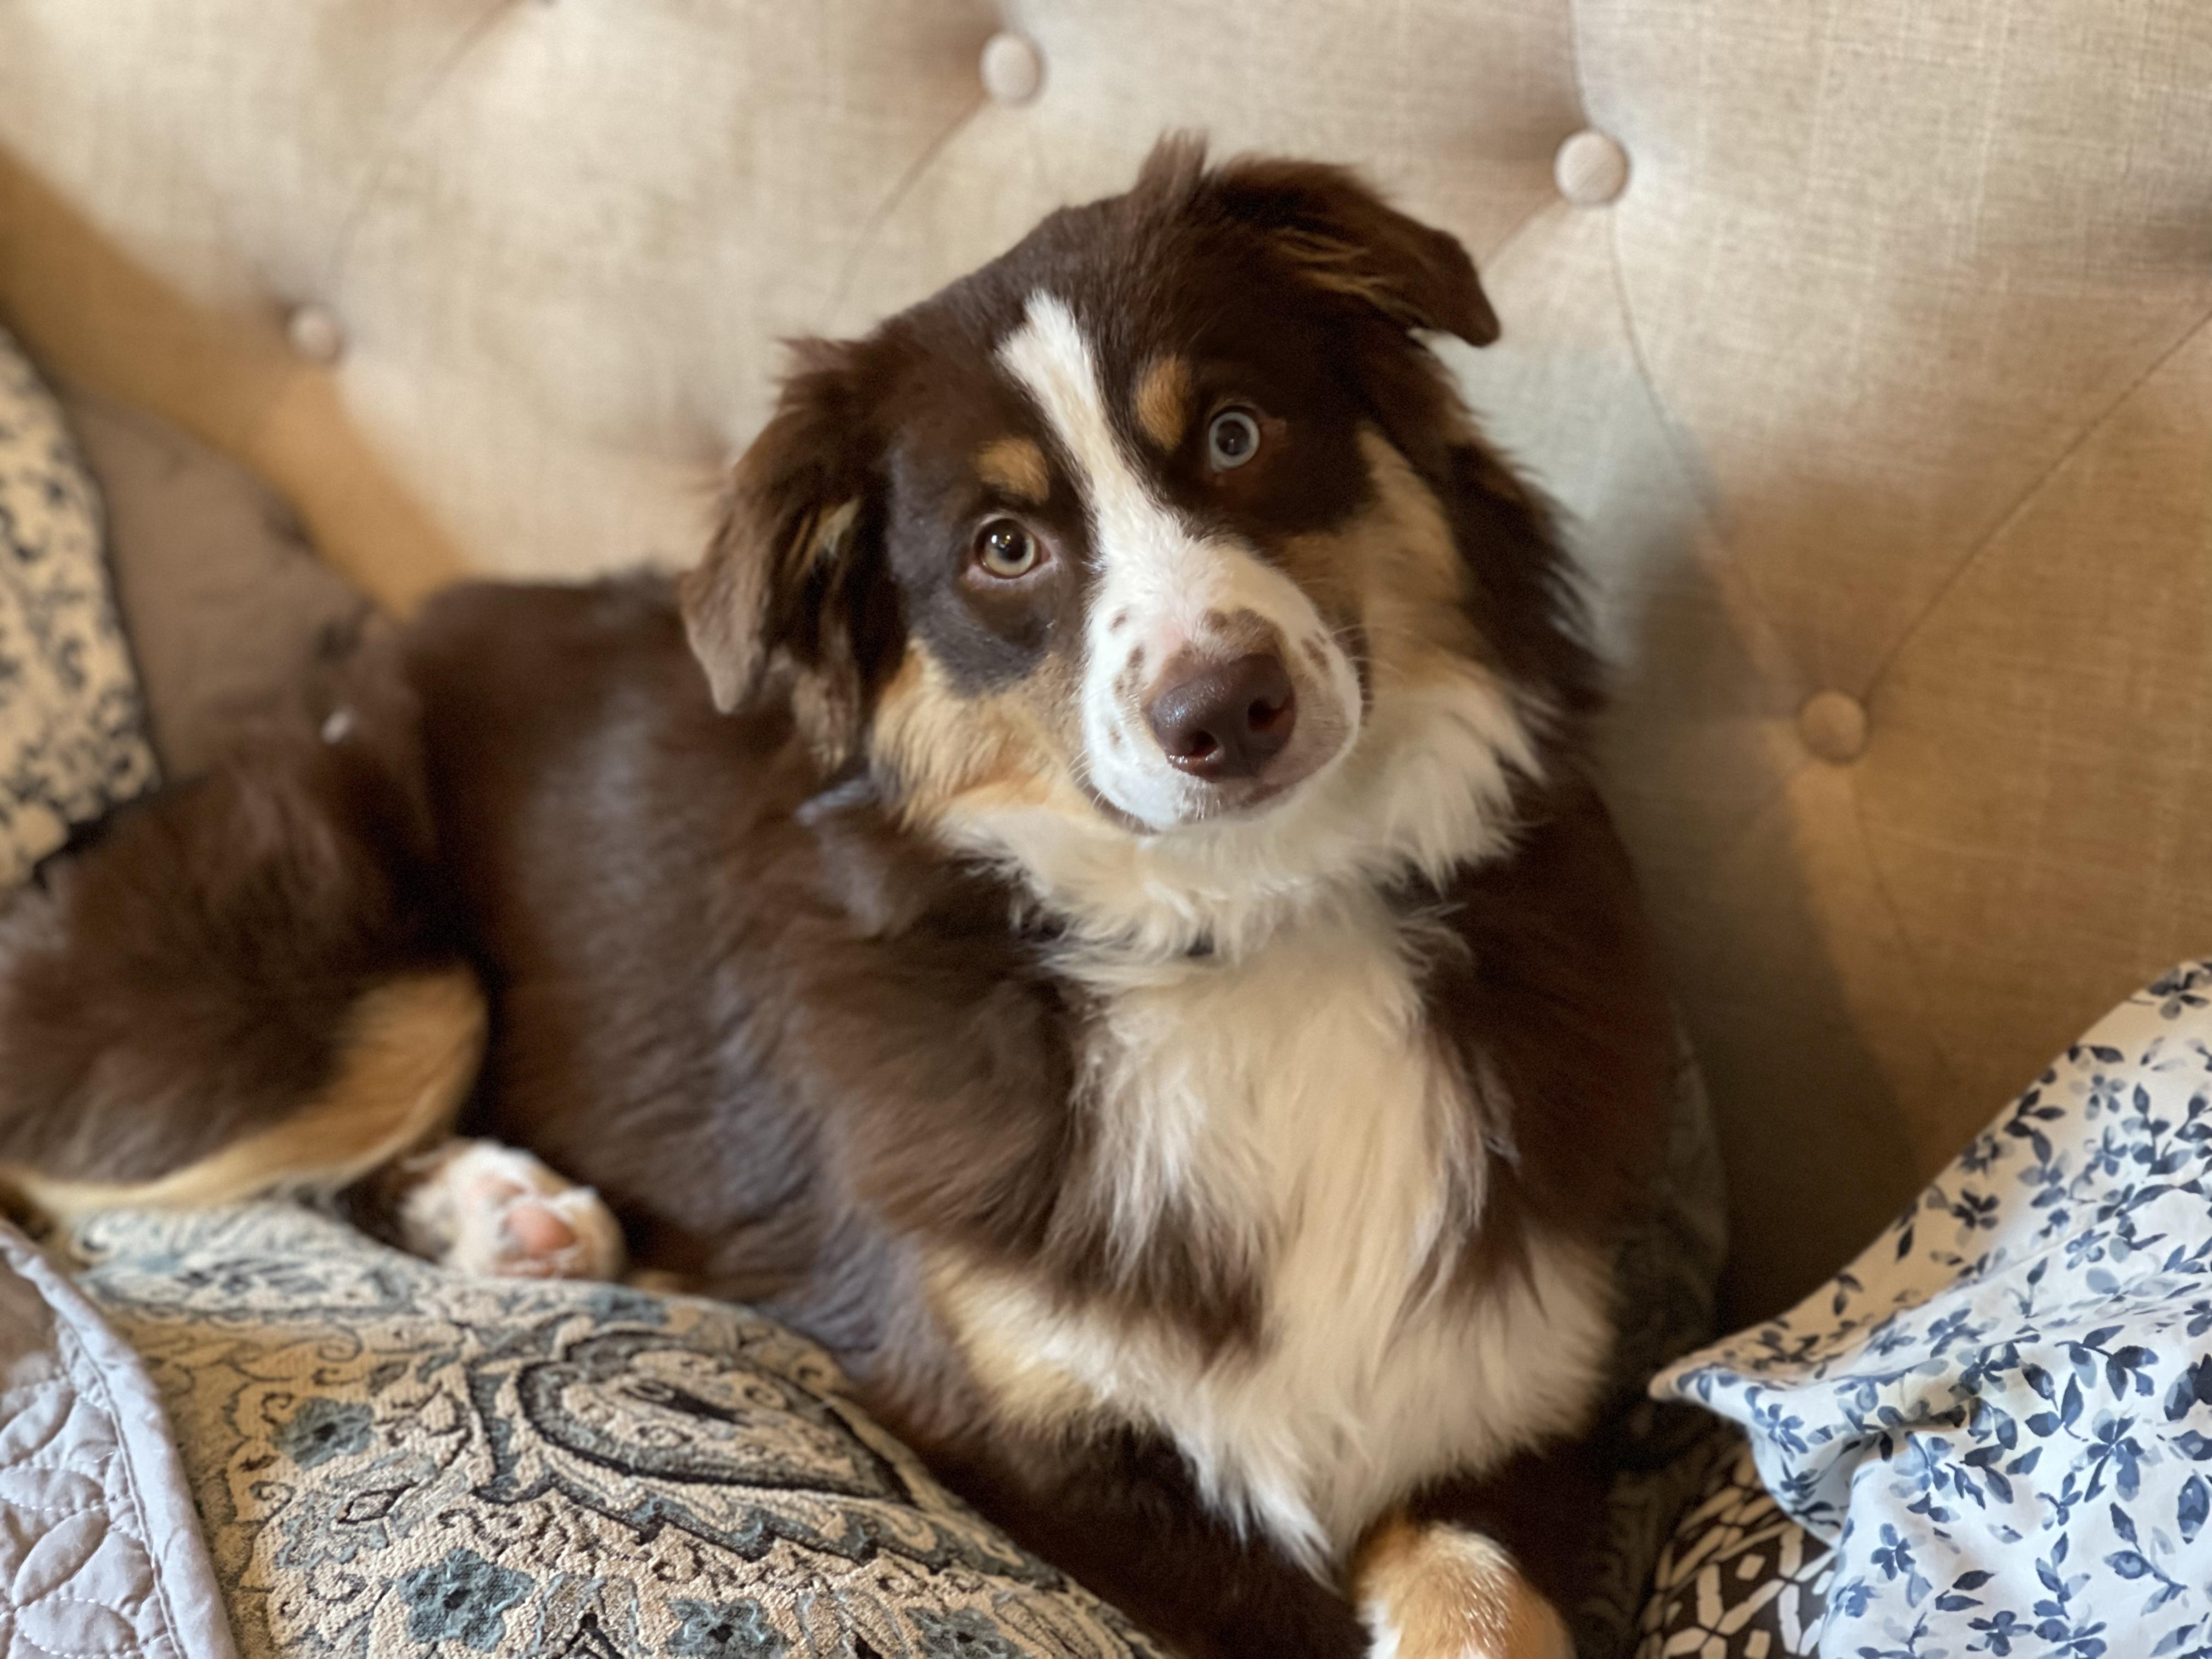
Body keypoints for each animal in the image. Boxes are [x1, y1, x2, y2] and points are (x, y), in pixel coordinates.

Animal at [0, 139, 1671, 1658]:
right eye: (1005, 546)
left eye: (1240, 432)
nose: (1226, 710)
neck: (1248, 923)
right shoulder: (1004, 1416)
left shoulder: (1519, 1404)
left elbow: (1483, 1611)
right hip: (372, 972)